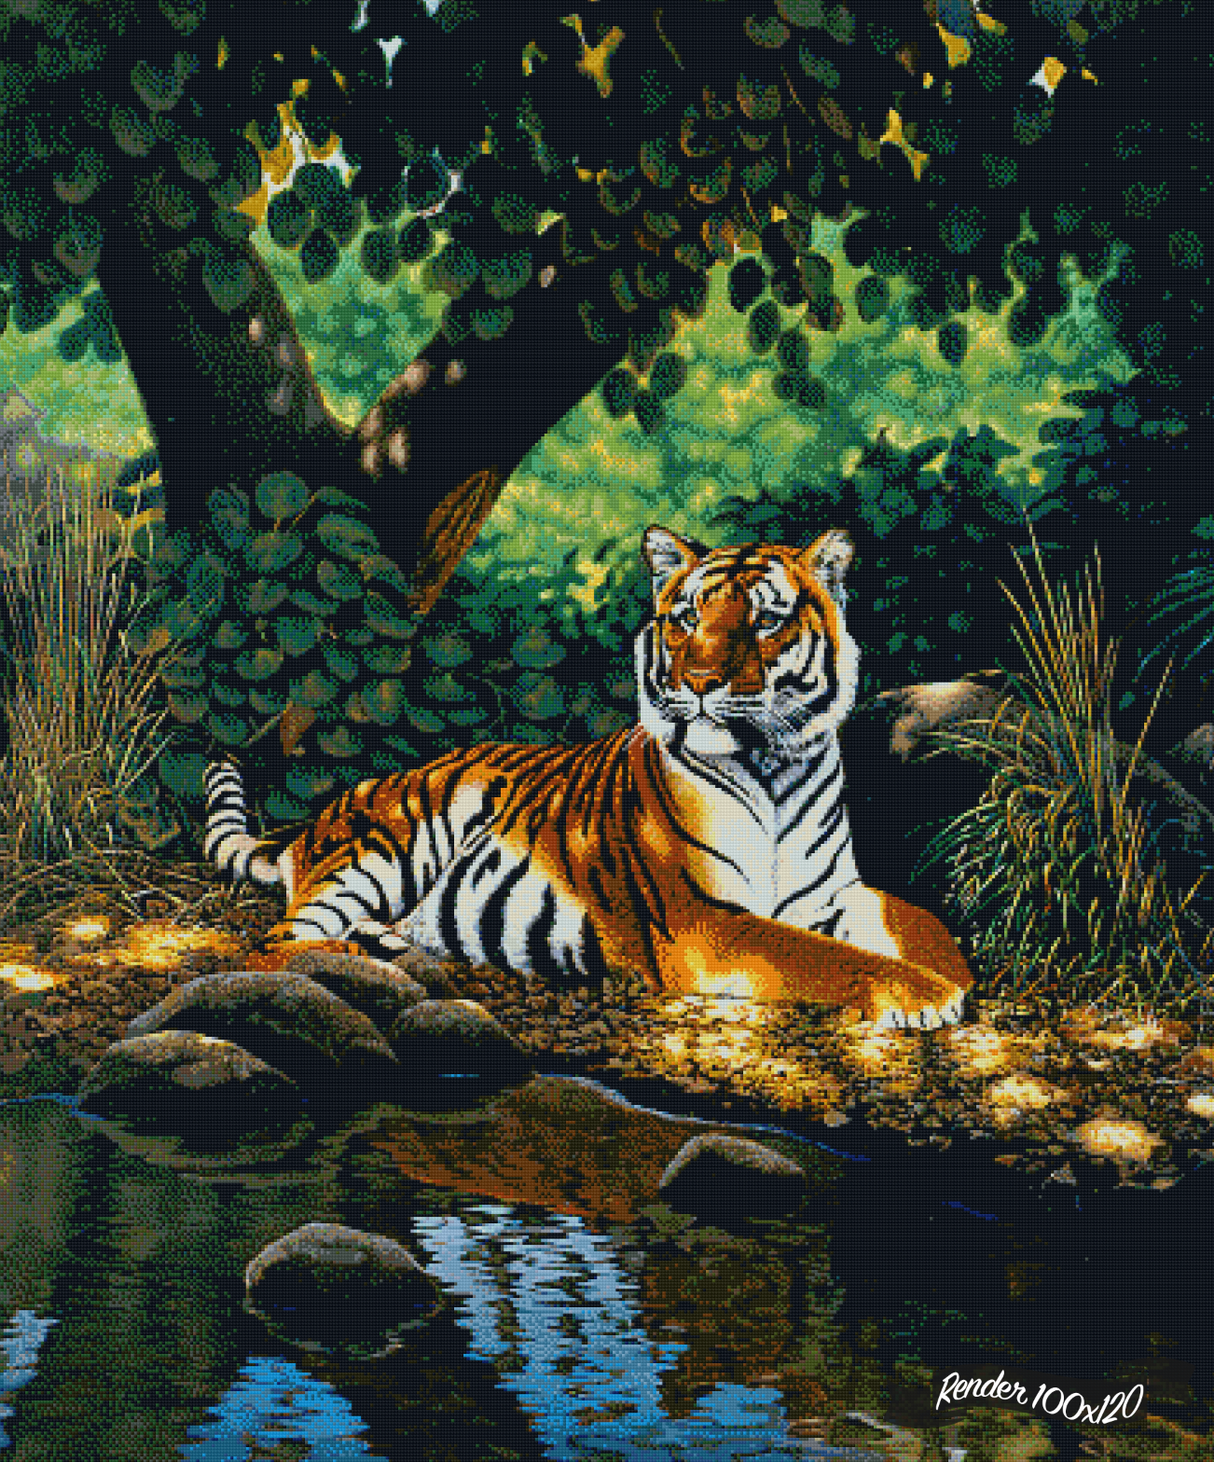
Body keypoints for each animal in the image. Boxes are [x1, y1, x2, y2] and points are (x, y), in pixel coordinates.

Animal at [204, 526, 973, 1029]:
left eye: (765, 620)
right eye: (686, 617)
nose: (698, 681)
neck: (773, 765)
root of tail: (316, 821)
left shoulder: (834, 892)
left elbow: (916, 916)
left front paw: (955, 974)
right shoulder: (706, 922)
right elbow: (828, 959)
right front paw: (926, 995)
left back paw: (388, 945)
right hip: (389, 844)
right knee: (276, 946)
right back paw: (360, 958)